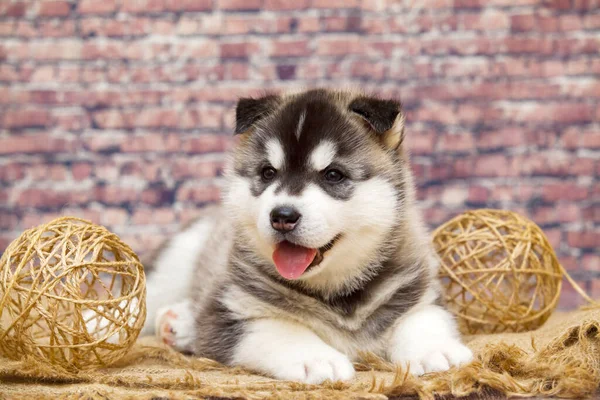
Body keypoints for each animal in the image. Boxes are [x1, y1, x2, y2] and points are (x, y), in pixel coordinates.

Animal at [142, 89, 474, 382]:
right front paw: (316, 359)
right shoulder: (226, 315)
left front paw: (436, 351)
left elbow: (423, 318)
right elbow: (279, 329)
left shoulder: (420, 290)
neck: (336, 293)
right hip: (178, 260)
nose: (282, 216)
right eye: (268, 173)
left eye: (333, 175)